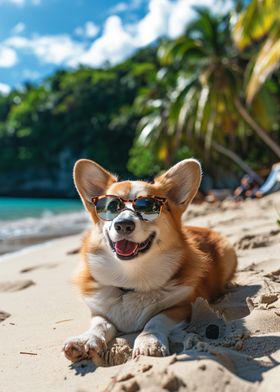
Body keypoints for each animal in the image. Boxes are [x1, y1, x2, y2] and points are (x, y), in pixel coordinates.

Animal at [63, 158, 236, 362]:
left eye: (147, 206)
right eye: (111, 206)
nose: (123, 225)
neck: (130, 278)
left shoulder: (182, 307)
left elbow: (155, 321)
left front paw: (149, 342)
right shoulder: (98, 311)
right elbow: (100, 324)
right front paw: (85, 339)